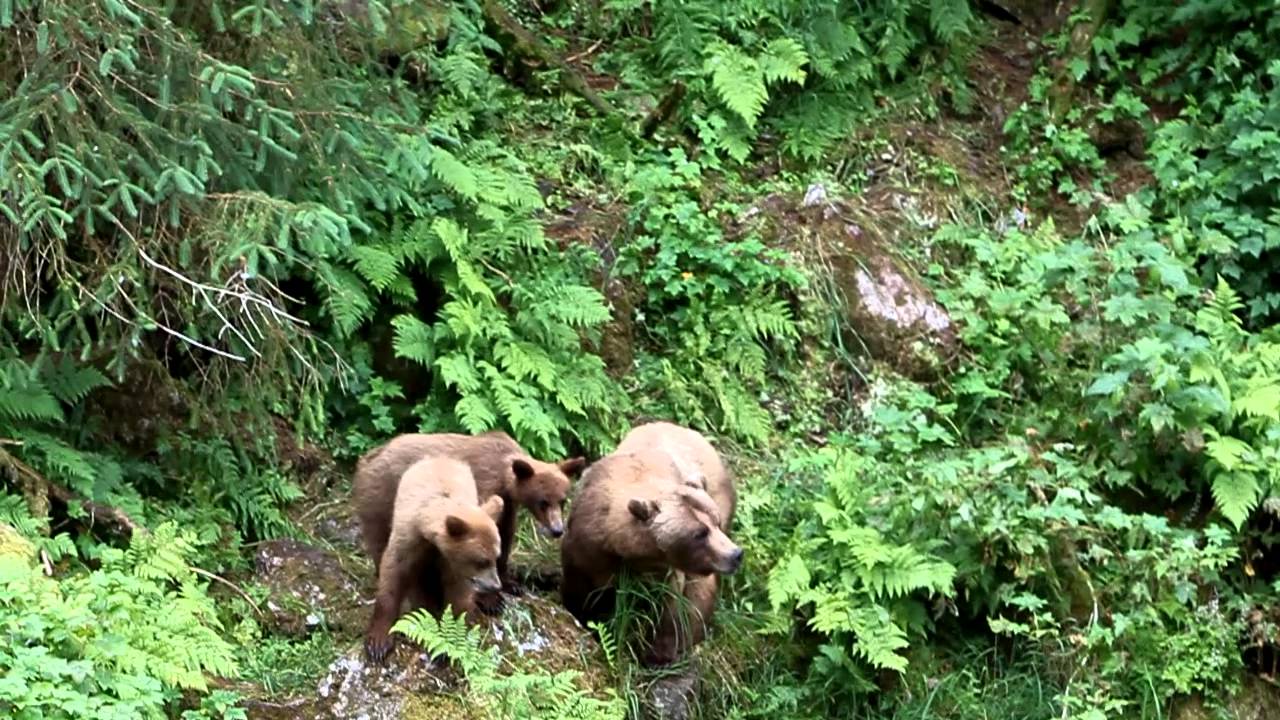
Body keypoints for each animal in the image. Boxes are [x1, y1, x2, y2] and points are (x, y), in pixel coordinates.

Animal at [353, 431, 585, 603]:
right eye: (543, 502)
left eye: (562, 500)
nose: (557, 530)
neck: (504, 476)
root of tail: (368, 457)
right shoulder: (483, 484)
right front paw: (491, 600)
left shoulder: (507, 504)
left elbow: (505, 535)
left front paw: (511, 584)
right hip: (381, 494)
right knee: (381, 538)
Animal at [362, 455, 505, 662]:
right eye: (482, 561)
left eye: (496, 557)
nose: (495, 585)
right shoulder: (408, 541)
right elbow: (392, 575)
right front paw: (378, 643)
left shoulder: (453, 564)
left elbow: (457, 593)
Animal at [560, 421, 743, 666]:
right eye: (699, 533)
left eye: (716, 521)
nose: (735, 554)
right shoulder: (586, 548)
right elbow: (581, 590)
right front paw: (586, 618)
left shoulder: (665, 571)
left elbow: (674, 607)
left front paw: (658, 652)